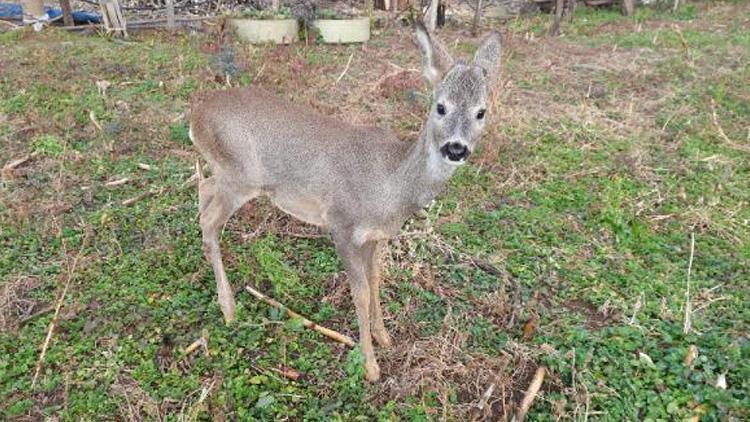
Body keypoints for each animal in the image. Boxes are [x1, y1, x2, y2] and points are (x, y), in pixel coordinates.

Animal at [191, 23, 502, 380]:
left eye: (481, 112)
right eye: (440, 106)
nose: (456, 148)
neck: (390, 186)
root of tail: (195, 116)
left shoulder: (376, 236)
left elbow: (376, 280)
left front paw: (384, 337)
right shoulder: (341, 225)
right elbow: (361, 293)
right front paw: (370, 366)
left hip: (228, 176)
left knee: (204, 189)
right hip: (240, 178)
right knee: (210, 221)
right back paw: (229, 309)